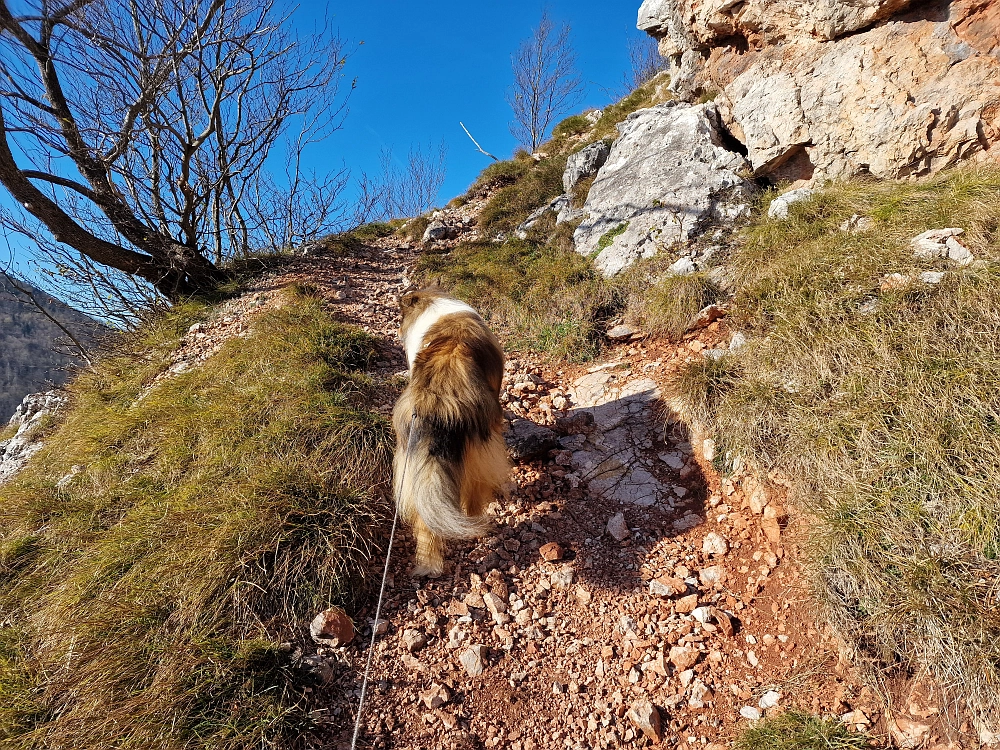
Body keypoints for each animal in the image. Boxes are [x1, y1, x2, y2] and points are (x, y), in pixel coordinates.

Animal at [392, 286, 512, 576]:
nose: (397, 331)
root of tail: (436, 399)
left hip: (412, 465)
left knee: (424, 519)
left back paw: (428, 562)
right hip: (482, 451)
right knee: (474, 497)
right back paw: (477, 524)